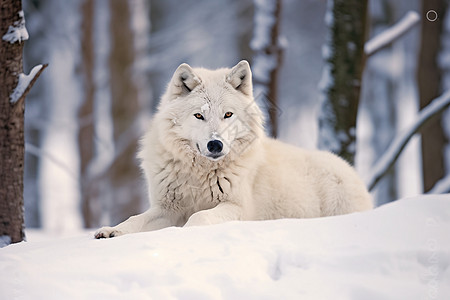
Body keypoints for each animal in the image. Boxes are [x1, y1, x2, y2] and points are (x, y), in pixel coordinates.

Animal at [94, 60, 370, 239]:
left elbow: (200, 217)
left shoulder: (237, 207)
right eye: (199, 115)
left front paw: (184, 234)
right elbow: (135, 219)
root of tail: (354, 174)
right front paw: (112, 230)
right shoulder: (167, 208)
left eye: (228, 114)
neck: (200, 174)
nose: (215, 144)